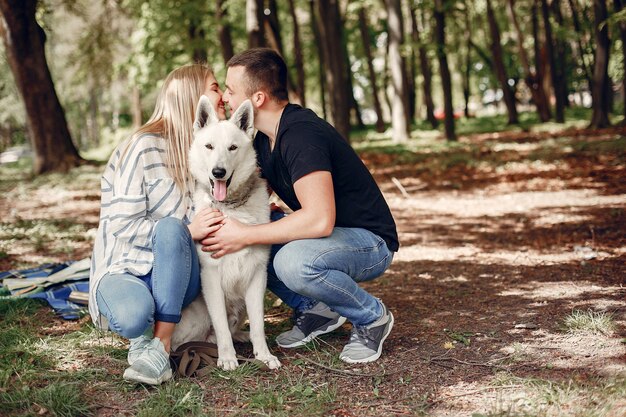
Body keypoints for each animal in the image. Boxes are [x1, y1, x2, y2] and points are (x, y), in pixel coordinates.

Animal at [169, 98, 280, 370]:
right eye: (209, 146)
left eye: (232, 148)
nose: (218, 172)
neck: (230, 208)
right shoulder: (211, 277)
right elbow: (220, 325)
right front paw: (228, 357)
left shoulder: (257, 277)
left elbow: (259, 325)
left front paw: (264, 355)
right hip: (197, 319)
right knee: (189, 341)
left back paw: (240, 336)